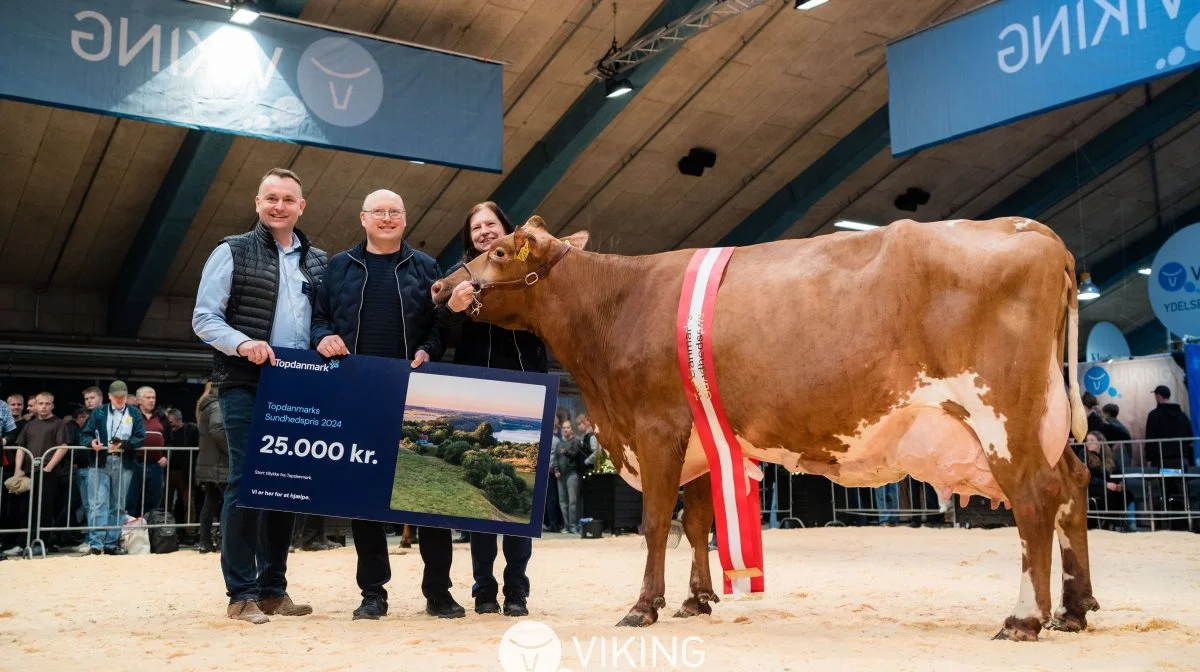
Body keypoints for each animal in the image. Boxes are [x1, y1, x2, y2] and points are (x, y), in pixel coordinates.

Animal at [434, 214, 1099, 638]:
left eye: (497, 252)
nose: (442, 284)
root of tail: (1033, 230)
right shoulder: (701, 438)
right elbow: (698, 522)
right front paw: (698, 599)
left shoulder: (657, 427)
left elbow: (655, 523)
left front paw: (644, 607)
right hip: (1044, 421)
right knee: (1073, 485)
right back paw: (1073, 609)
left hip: (1002, 415)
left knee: (1035, 500)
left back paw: (1024, 619)